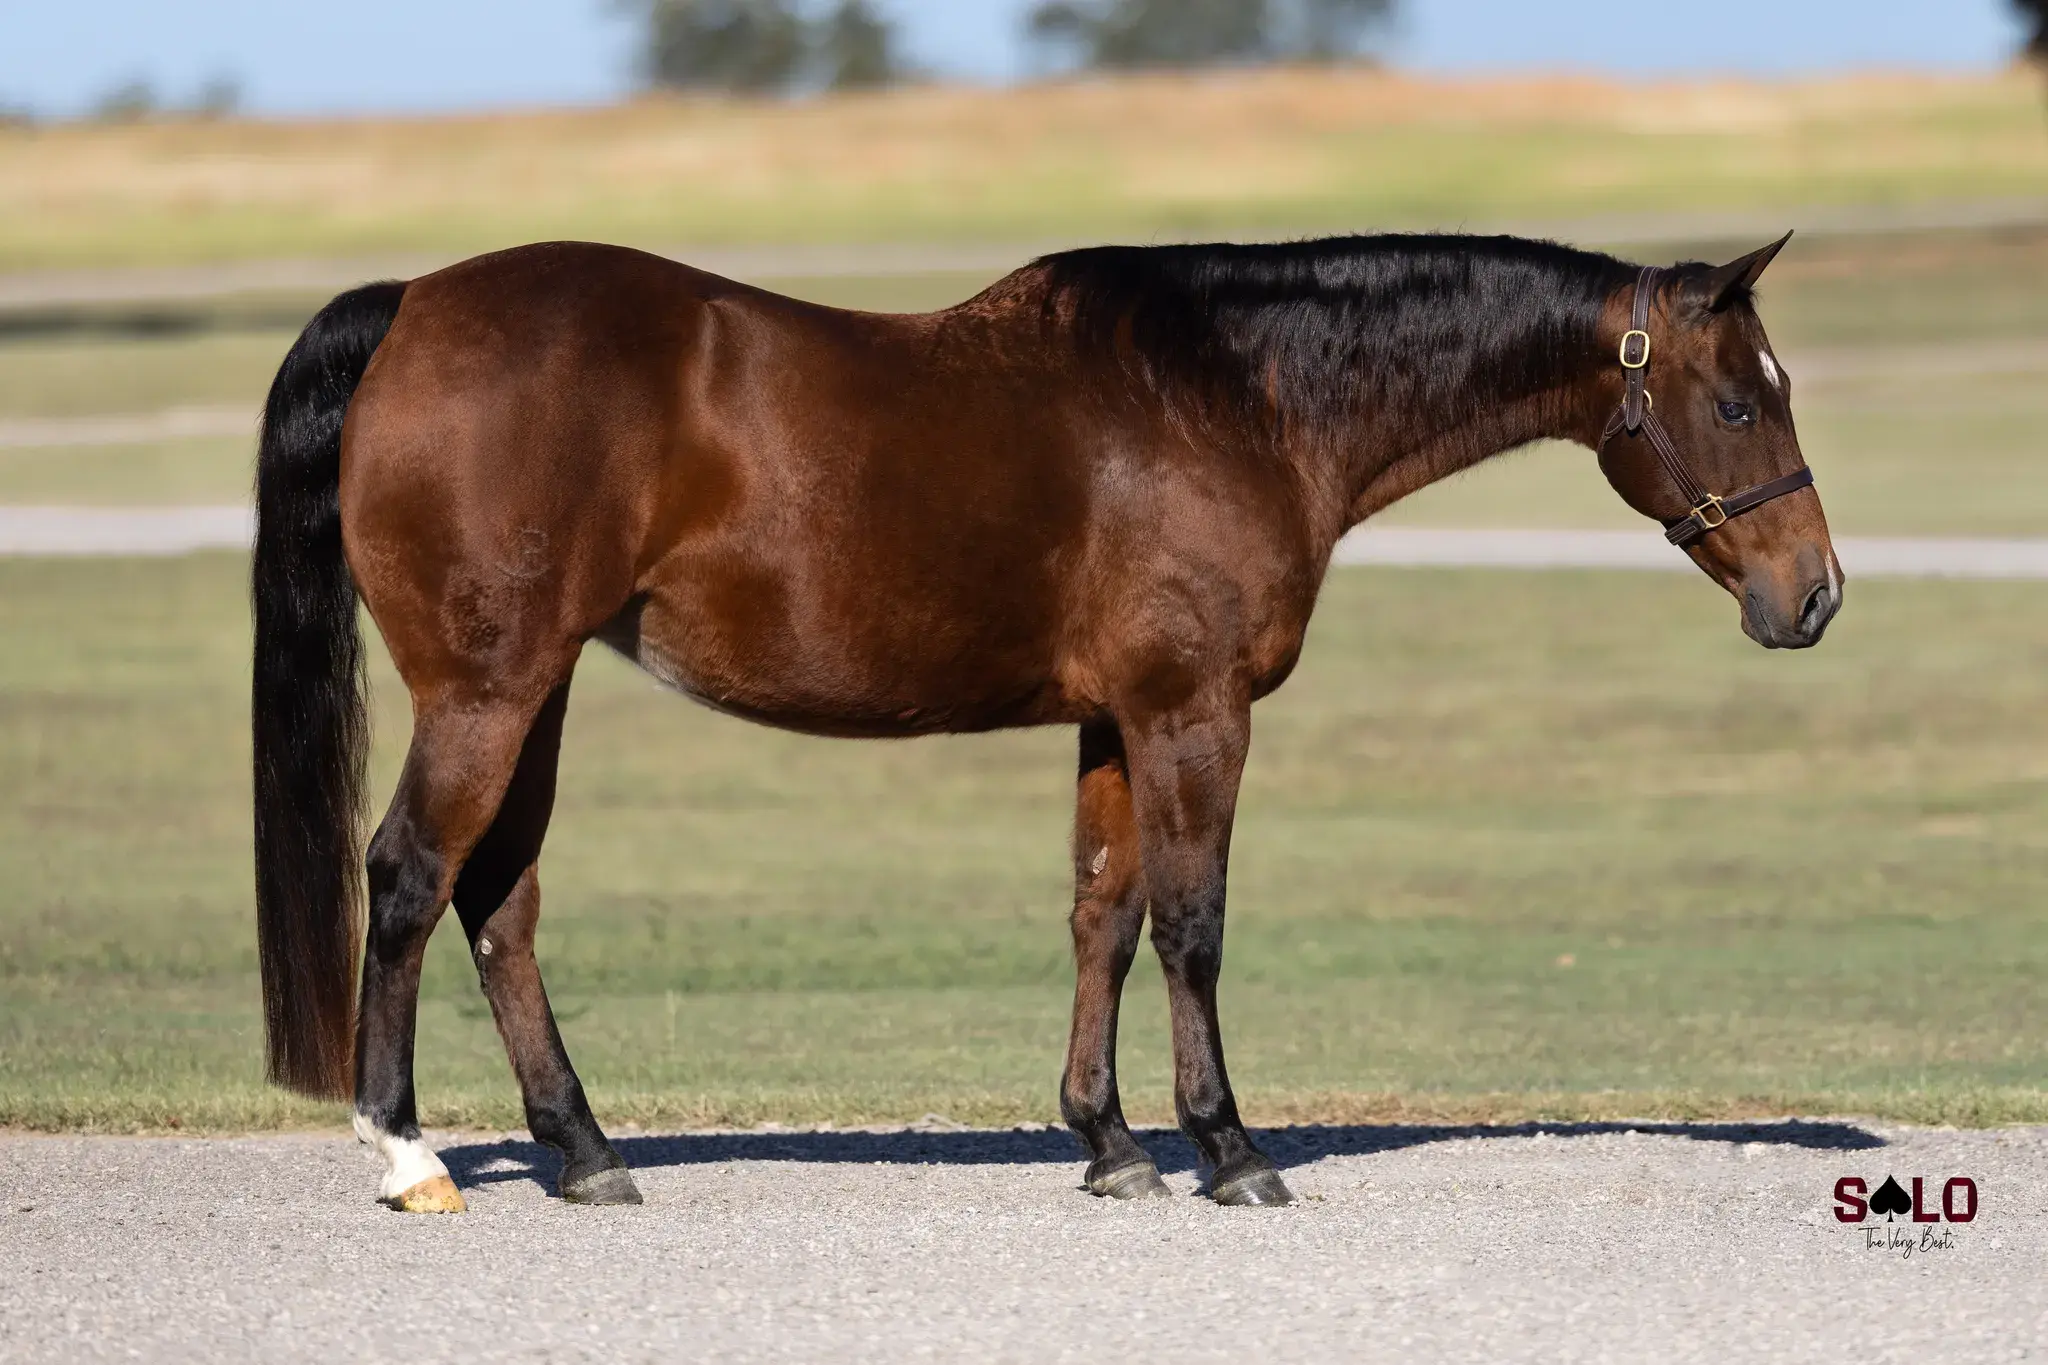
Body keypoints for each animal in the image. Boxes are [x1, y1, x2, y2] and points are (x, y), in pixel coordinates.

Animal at [251, 230, 1838, 1212]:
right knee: (410, 877)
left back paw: (583, 1150)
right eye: (1739, 405)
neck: (1236, 400)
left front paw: (1109, 1141)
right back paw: (407, 1153)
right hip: (489, 691)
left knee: (498, 902)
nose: (1812, 596)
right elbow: (1192, 924)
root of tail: (414, 305)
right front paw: (1227, 1147)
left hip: (540, 690)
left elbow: (1103, 918)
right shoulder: (1194, 714)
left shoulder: (1114, 721)